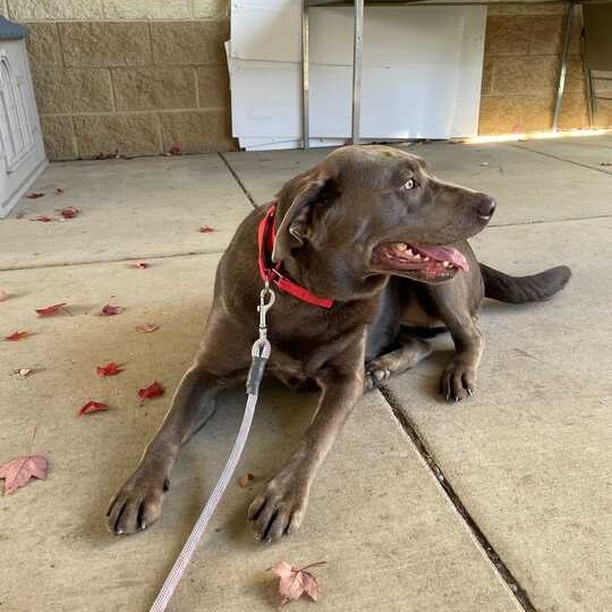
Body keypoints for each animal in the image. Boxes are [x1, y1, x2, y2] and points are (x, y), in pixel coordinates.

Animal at [106, 146, 568, 544]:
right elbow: (166, 431)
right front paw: (138, 487)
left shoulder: (344, 378)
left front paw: (284, 494)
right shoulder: (205, 372)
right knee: (418, 342)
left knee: (470, 335)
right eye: (408, 184)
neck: (303, 294)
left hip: (441, 290)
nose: (491, 204)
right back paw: (383, 366)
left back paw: (454, 371)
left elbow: (315, 436)